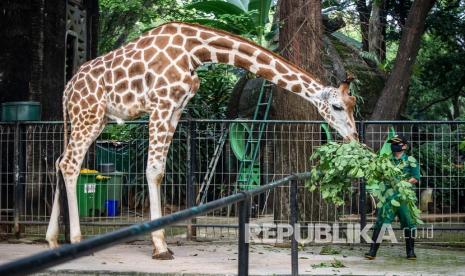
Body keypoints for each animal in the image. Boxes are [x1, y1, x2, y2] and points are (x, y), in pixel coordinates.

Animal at [45, 21, 358, 258]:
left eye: (353, 105)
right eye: (337, 107)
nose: (353, 137)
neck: (196, 49)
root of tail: (67, 89)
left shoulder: (176, 109)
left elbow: (159, 171)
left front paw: (160, 243)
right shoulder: (161, 104)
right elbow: (154, 170)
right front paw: (160, 247)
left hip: (92, 120)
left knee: (61, 160)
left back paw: (53, 239)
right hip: (88, 115)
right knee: (70, 163)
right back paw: (76, 241)